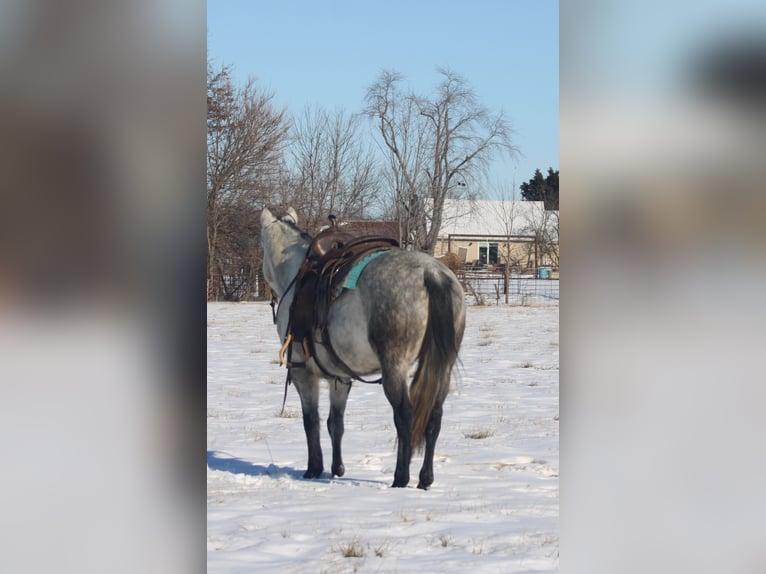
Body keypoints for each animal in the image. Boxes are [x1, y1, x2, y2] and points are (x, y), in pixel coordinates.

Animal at [262, 208, 468, 490]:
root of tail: (431, 273)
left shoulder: (304, 374)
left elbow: (311, 421)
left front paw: (314, 468)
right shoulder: (340, 378)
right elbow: (335, 423)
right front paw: (337, 469)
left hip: (394, 367)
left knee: (404, 416)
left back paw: (400, 478)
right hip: (441, 367)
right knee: (434, 417)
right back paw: (425, 479)